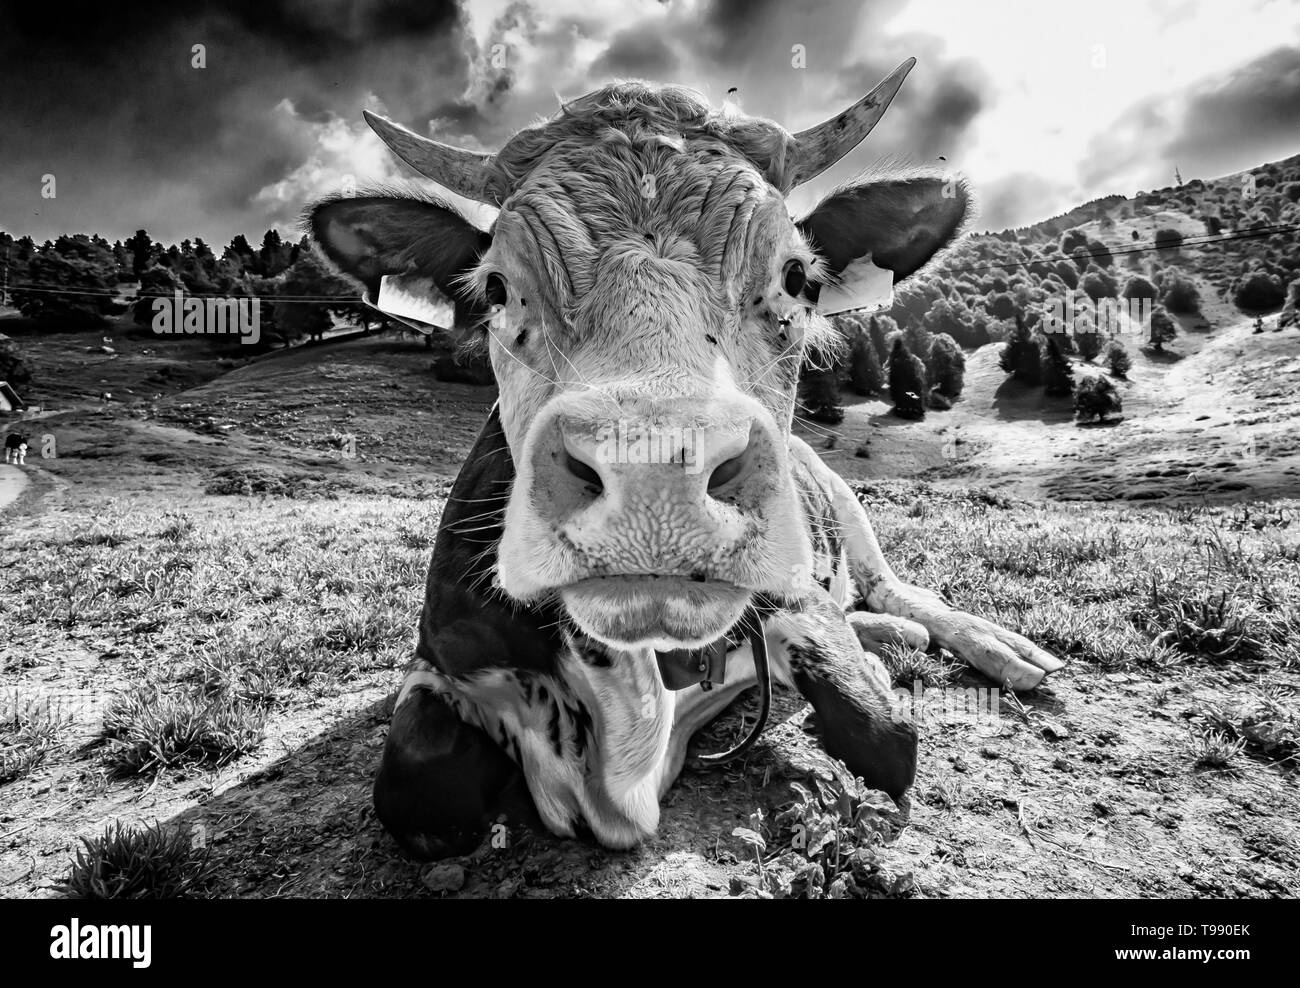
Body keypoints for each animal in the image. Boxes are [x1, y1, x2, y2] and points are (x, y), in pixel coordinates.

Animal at [309, 59, 1060, 857]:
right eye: (497, 288)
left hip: (845, 503)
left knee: (897, 593)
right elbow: (419, 789)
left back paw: (997, 646)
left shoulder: (795, 597)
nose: (655, 483)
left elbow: (884, 733)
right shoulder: (440, 661)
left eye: (798, 279)